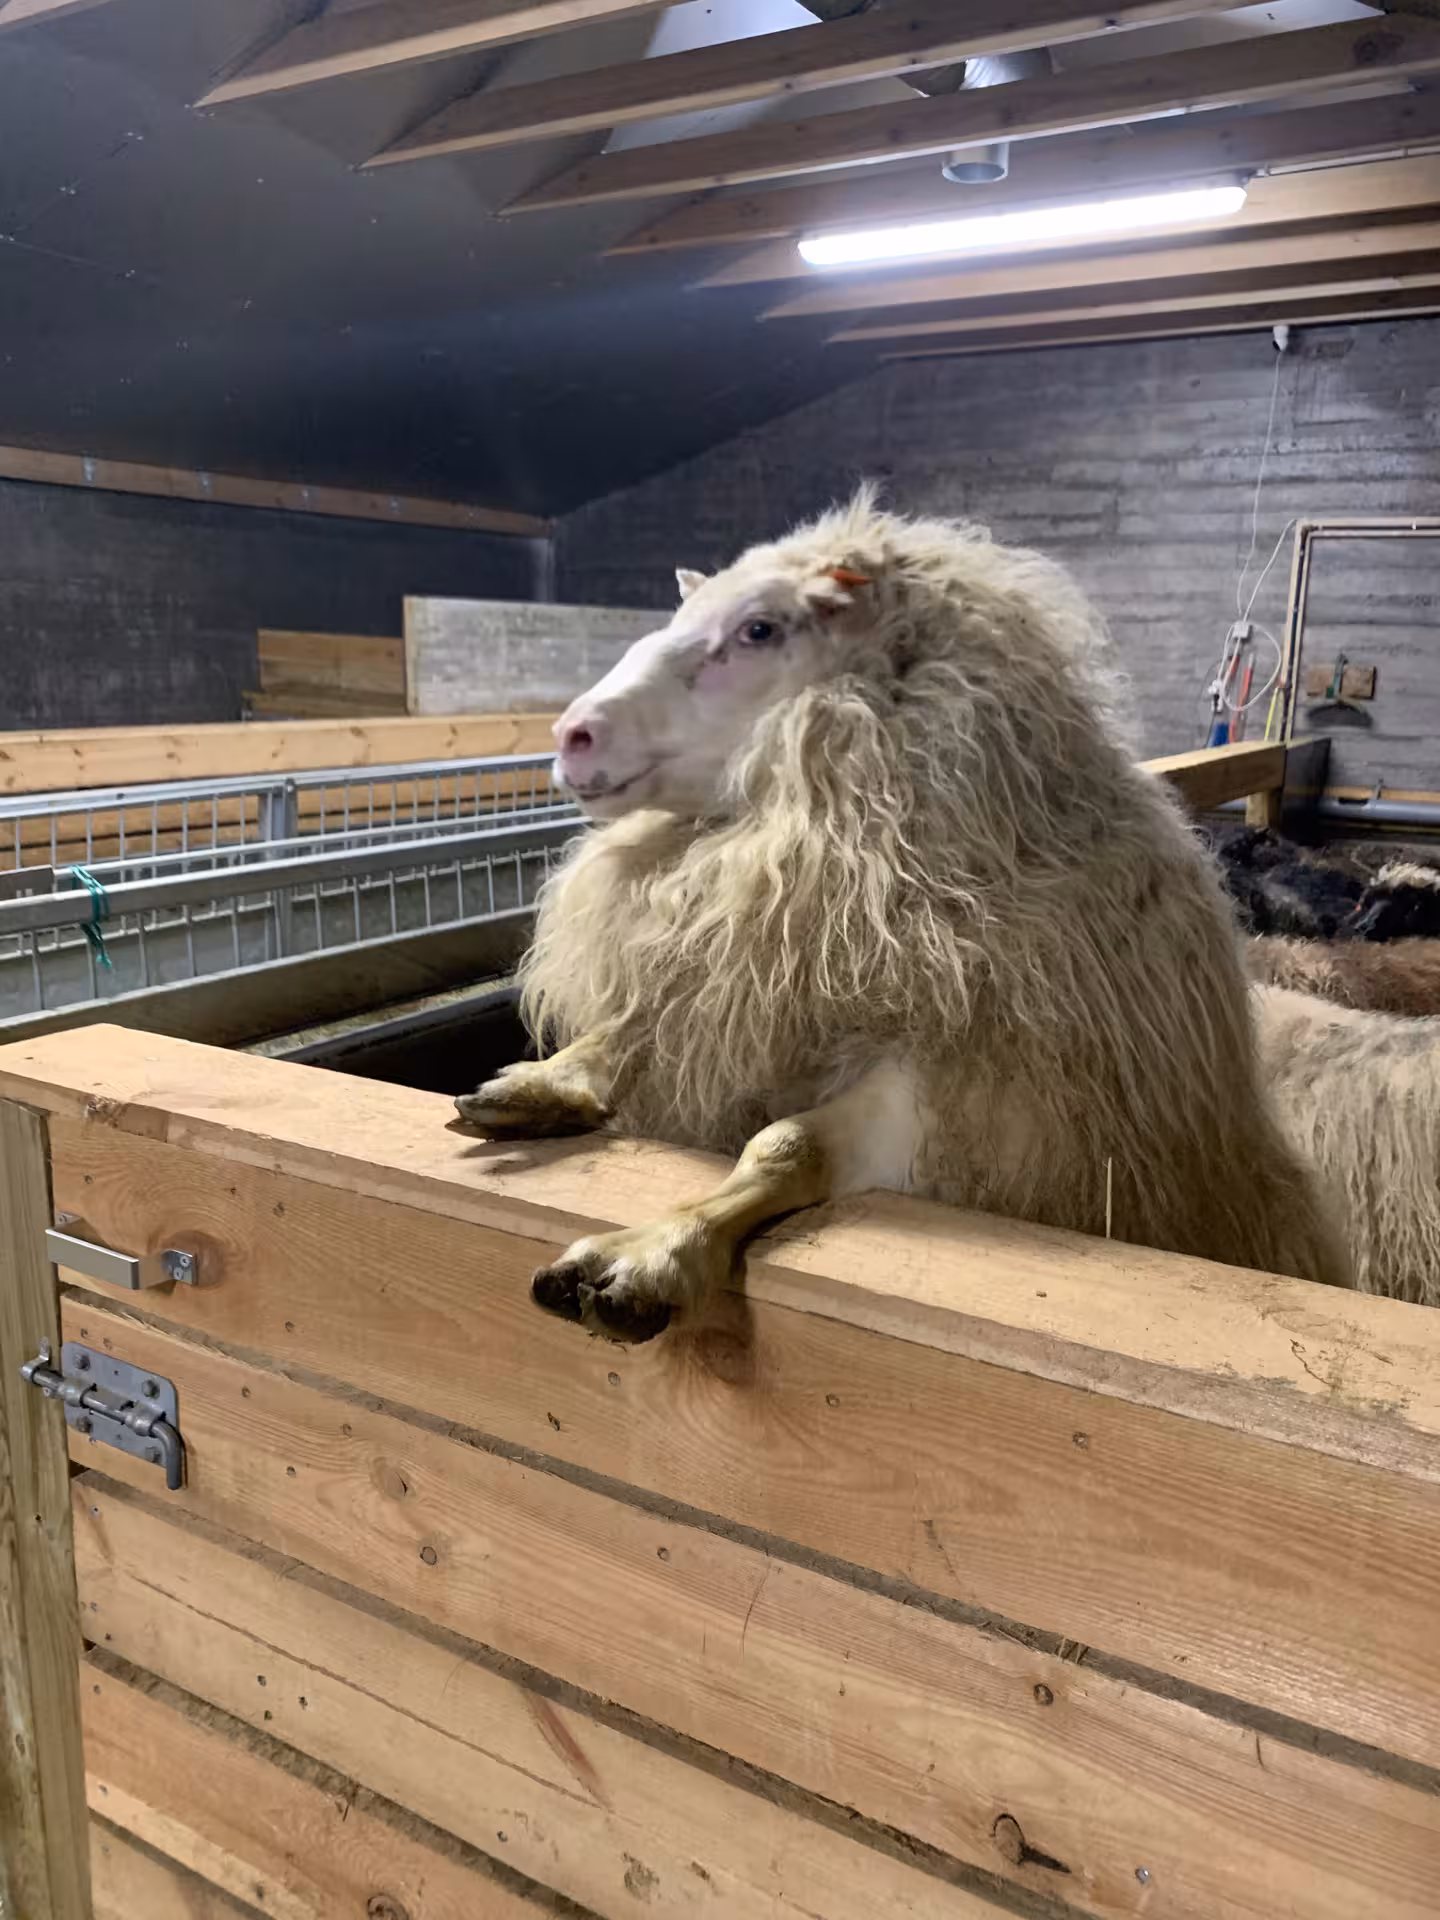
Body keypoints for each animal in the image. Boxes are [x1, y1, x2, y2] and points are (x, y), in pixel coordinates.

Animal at [457, 492, 1347, 1341]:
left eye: (759, 628)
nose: (572, 735)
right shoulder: (744, 987)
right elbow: (634, 1029)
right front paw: (541, 1083)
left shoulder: (958, 1097)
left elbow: (785, 1145)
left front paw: (650, 1255)